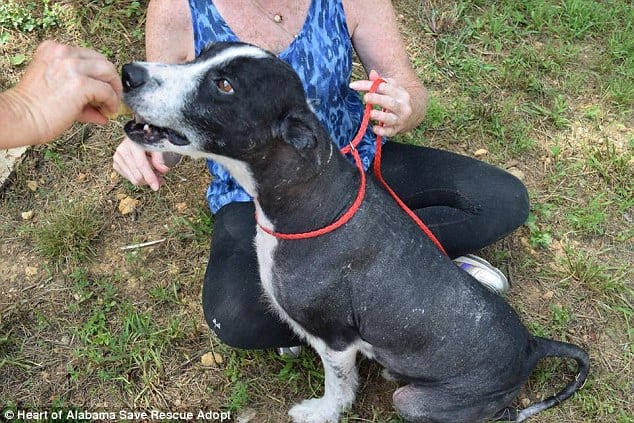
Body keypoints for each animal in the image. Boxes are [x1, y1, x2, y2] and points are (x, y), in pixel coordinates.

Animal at [119, 40, 588, 423]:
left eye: (225, 86)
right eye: (201, 54)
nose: (128, 73)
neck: (307, 197)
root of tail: (532, 346)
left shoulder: (336, 338)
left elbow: (338, 388)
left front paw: (320, 412)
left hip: (416, 403)